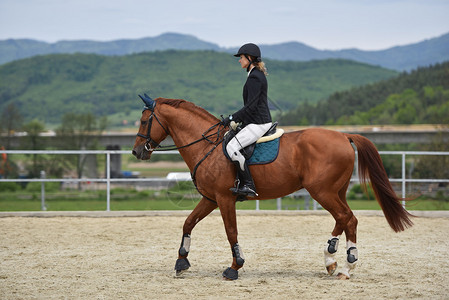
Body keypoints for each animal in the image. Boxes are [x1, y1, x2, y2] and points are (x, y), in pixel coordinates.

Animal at [131, 96, 412, 282]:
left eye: (144, 121)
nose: (136, 152)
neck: (206, 146)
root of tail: (344, 135)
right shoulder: (210, 198)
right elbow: (188, 223)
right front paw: (181, 261)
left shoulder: (224, 198)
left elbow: (231, 232)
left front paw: (234, 267)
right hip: (335, 191)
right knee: (343, 219)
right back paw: (331, 260)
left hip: (322, 192)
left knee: (348, 219)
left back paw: (345, 267)